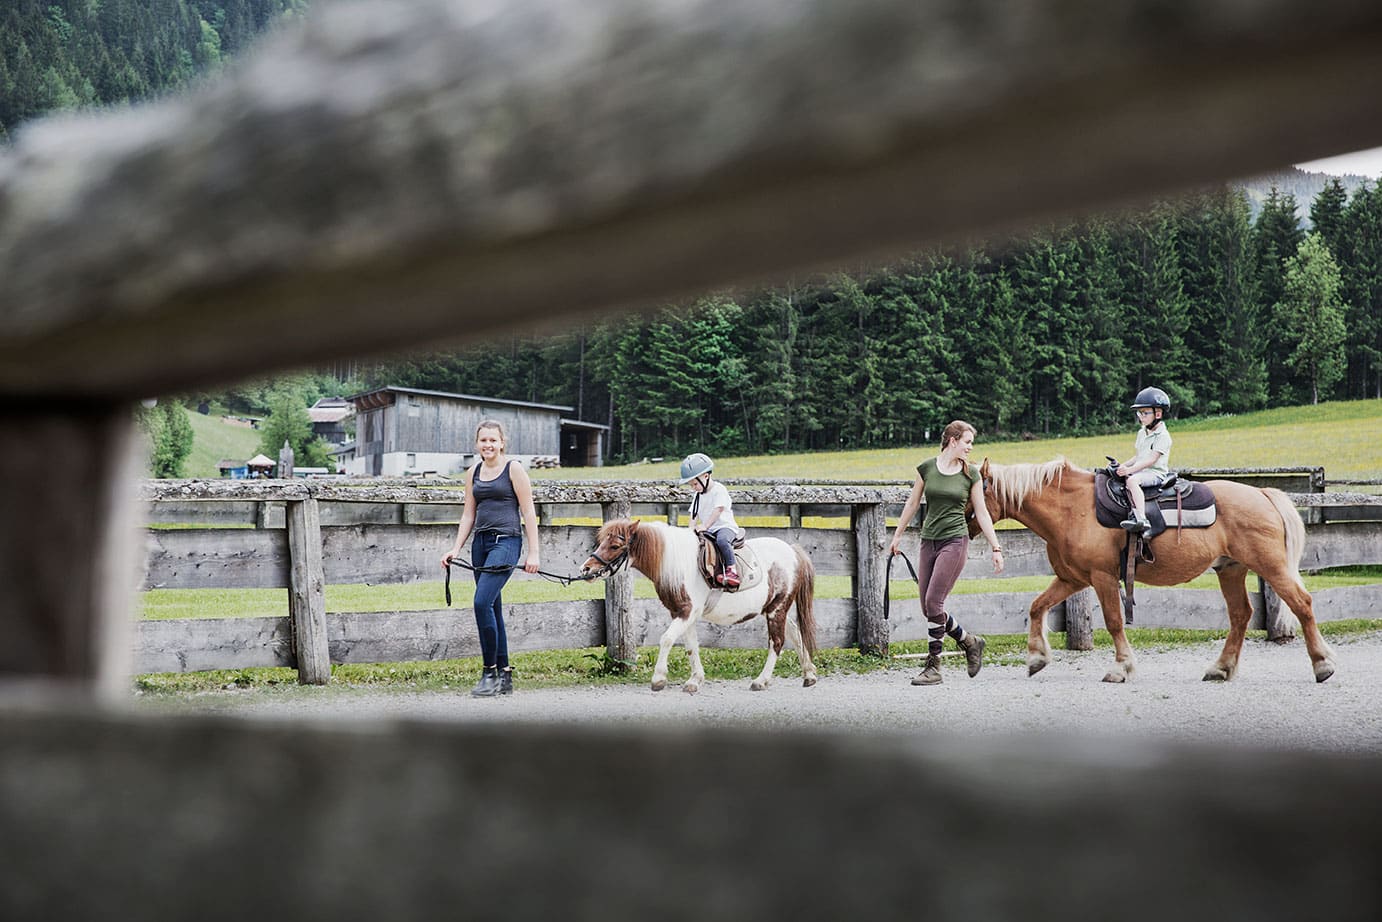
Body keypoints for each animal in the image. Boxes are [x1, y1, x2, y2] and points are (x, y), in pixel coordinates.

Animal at [577, 519, 812, 691]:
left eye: (615, 545)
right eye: (602, 542)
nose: (585, 569)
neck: (677, 564)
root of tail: (792, 551)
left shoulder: (687, 612)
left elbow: (667, 639)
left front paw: (659, 679)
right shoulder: (682, 613)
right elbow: (691, 646)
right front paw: (694, 680)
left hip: (776, 609)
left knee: (777, 642)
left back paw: (761, 681)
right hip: (775, 609)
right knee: (795, 633)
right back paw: (809, 674)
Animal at [978, 458, 1332, 685]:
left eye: (975, 492)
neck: (1072, 508)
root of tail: (1262, 493)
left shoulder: (1102, 577)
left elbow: (1114, 621)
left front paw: (1121, 668)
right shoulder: (1072, 579)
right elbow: (1037, 606)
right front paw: (1036, 658)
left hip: (1271, 566)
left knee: (1301, 604)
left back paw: (1322, 664)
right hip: (1231, 569)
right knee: (1241, 614)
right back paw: (1220, 668)